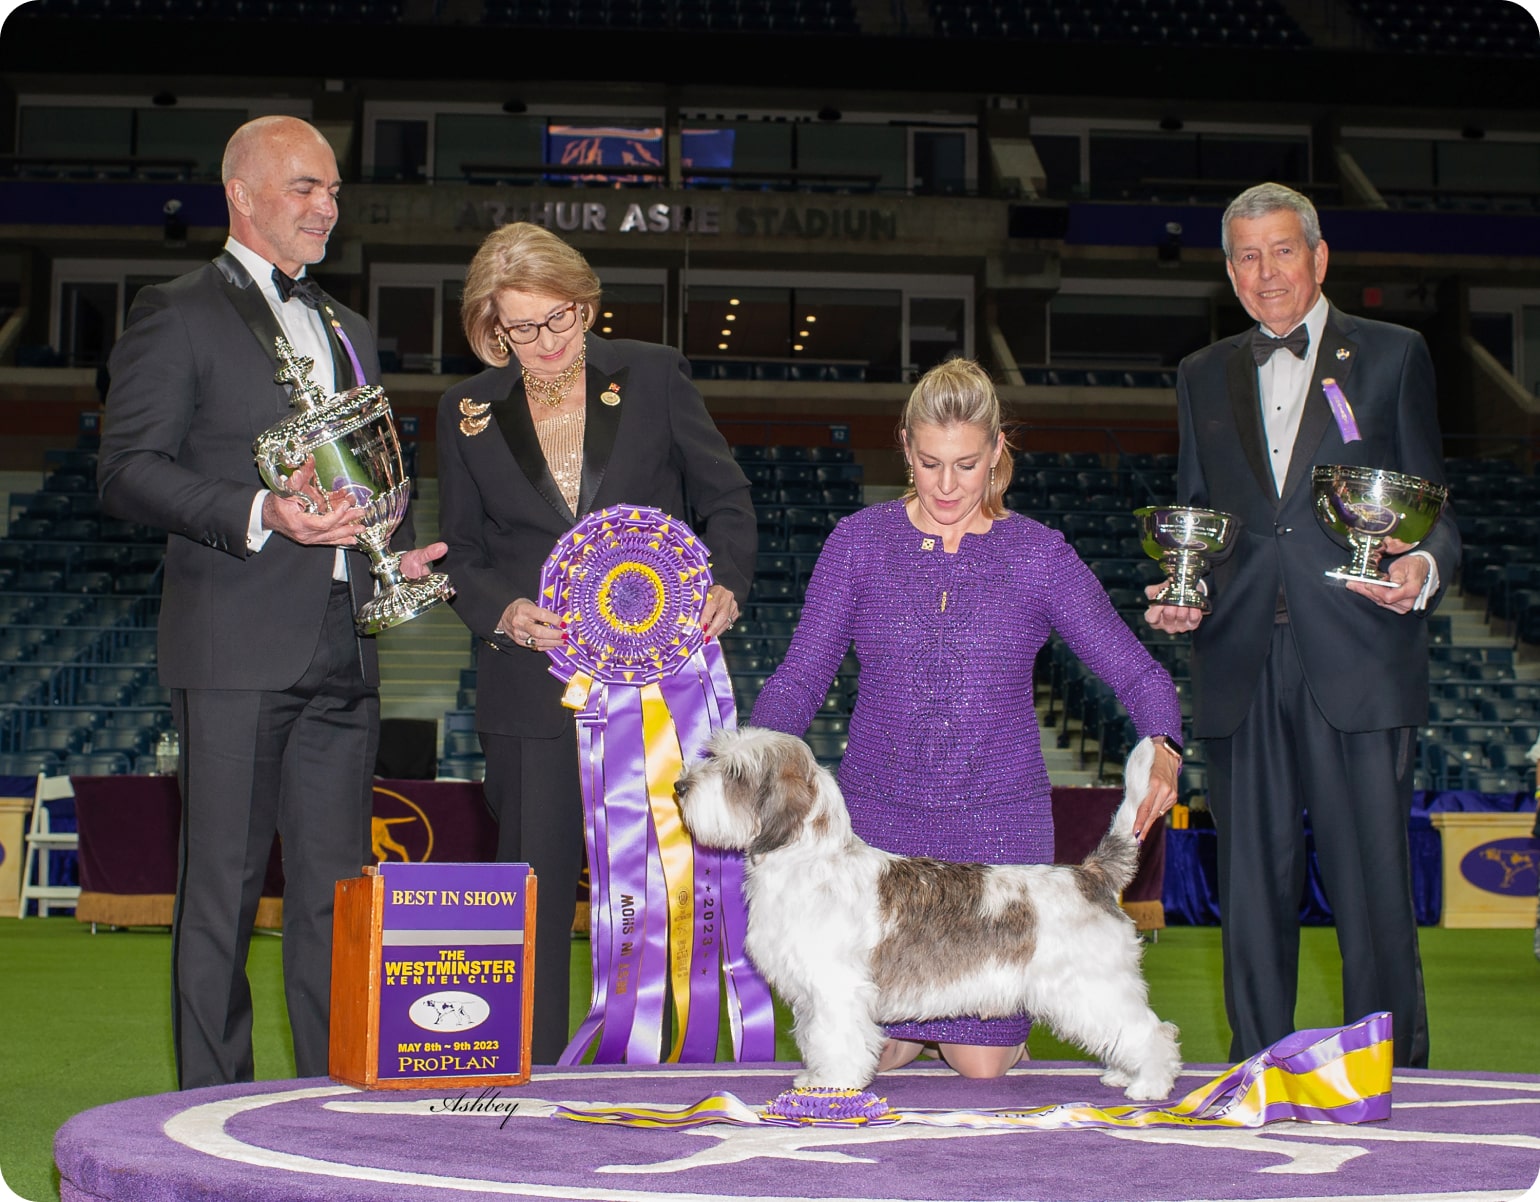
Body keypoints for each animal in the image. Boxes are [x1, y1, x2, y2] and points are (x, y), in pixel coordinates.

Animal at [674, 726, 1176, 1101]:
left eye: (735, 773)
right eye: (714, 756)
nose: (679, 786)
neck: (809, 861)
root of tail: (1090, 874)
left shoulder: (837, 989)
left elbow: (838, 1038)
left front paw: (833, 1084)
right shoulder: (815, 994)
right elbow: (817, 1036)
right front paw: (816, 1076)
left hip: (1093, 987)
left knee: (1152, 1030)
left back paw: (1149, 1084)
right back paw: (1124, 1073)